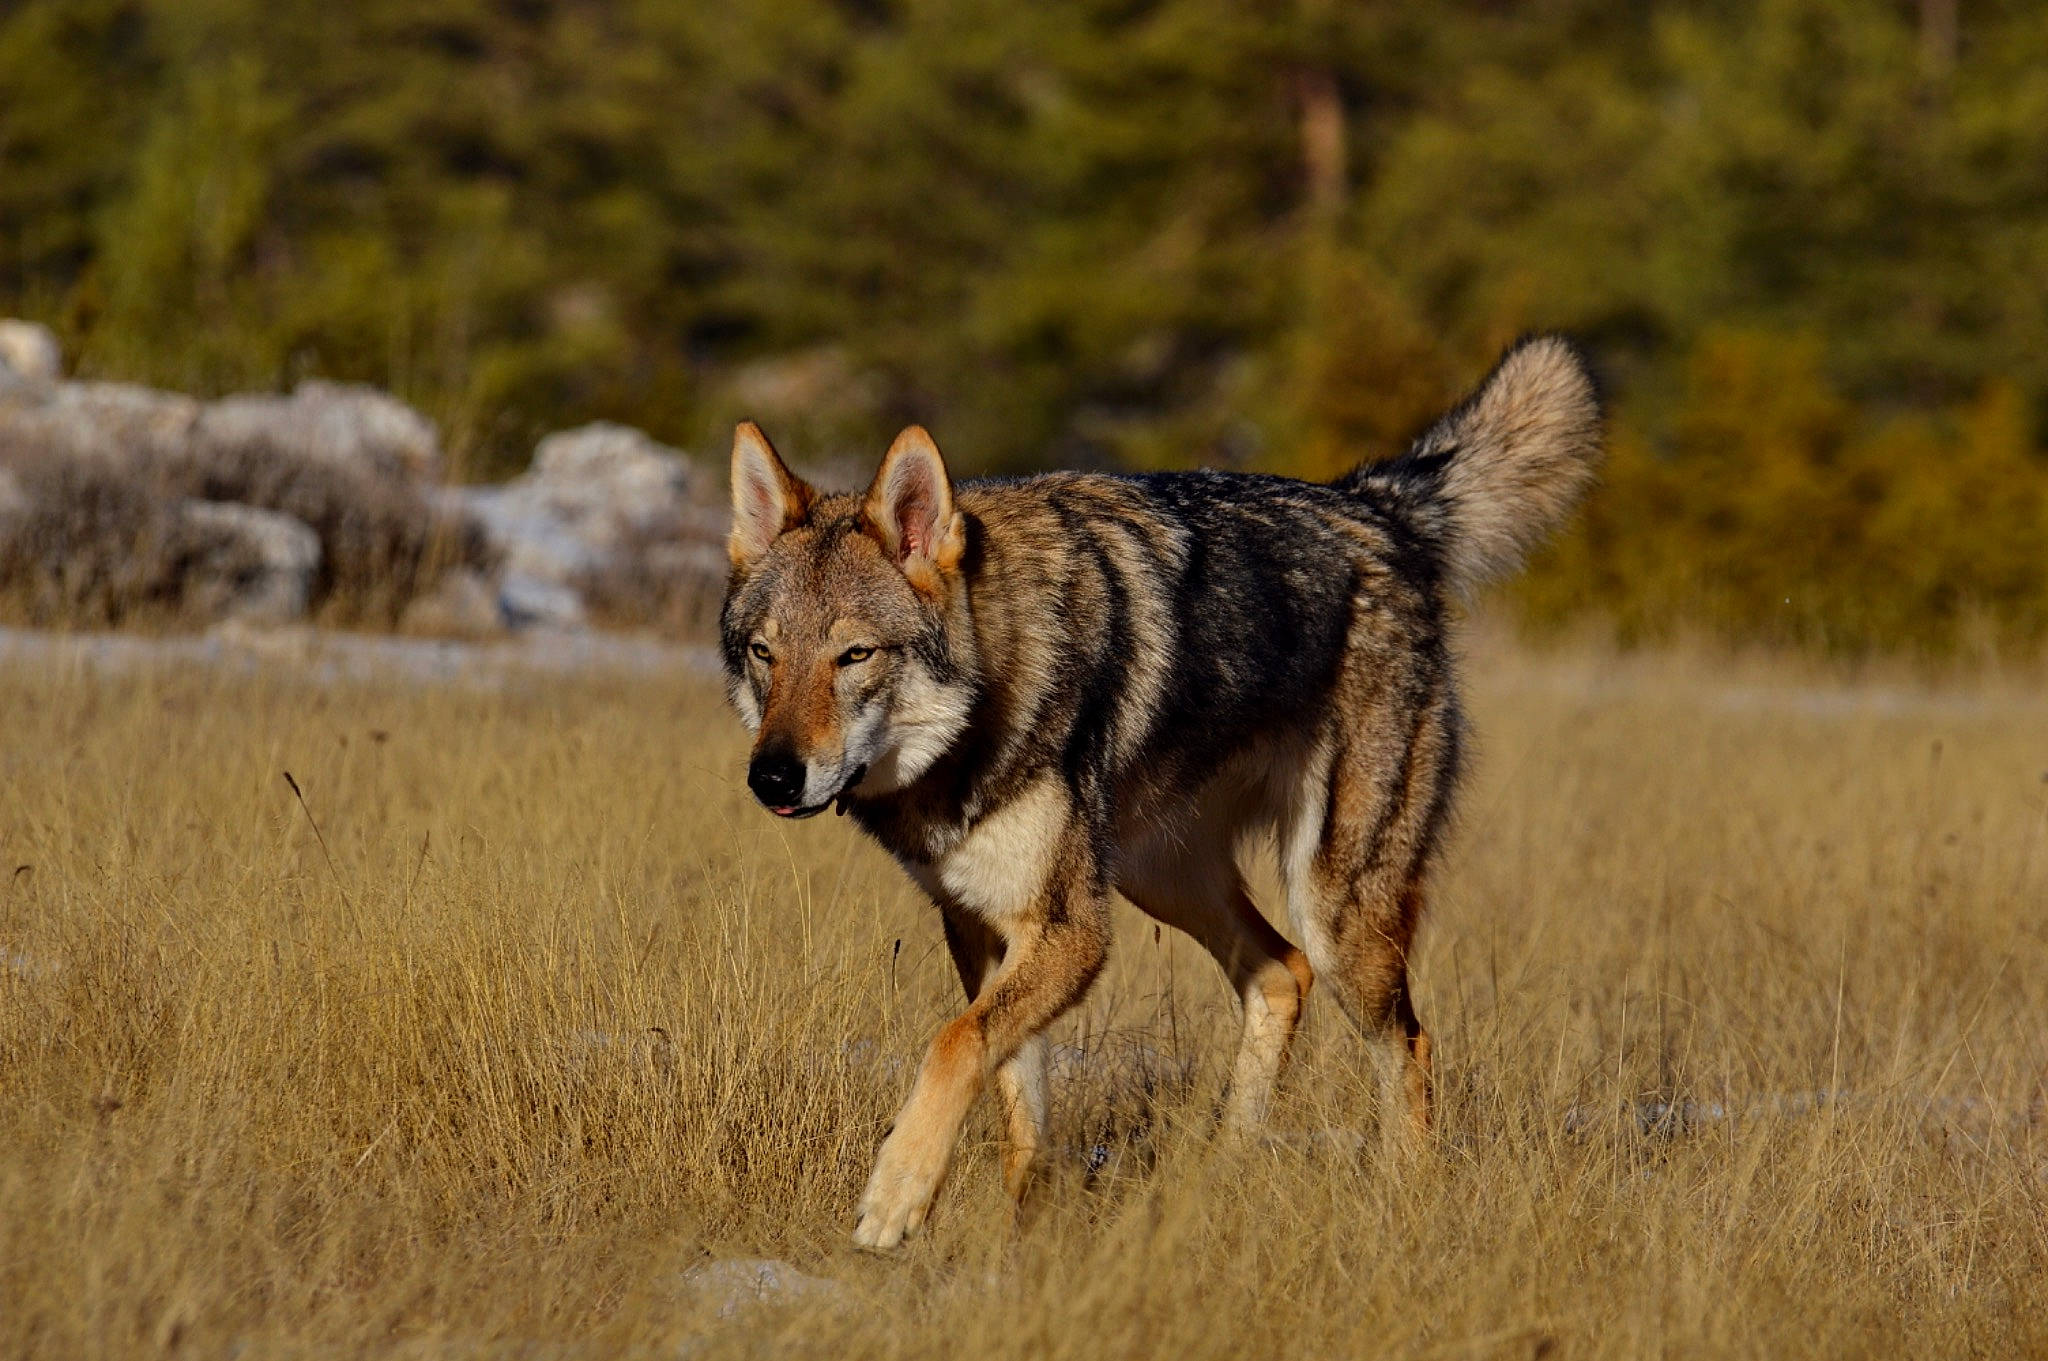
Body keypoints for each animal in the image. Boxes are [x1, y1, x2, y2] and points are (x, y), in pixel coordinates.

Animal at [720, 335, 1602, 1249]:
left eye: (854, 655)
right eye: (764, 653)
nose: (772, 774)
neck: (984, 711)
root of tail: (1376, 501)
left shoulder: (1072, 930)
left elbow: (955, 1043)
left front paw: (896, 1194)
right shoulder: (983, 922)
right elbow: (1014, 1093)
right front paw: (1020, 1232)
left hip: (1334, 910)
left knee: (1410, 1042)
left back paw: (1404, 1199)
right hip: (1166, 879)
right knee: (1281, 974)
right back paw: (1223, 1173)